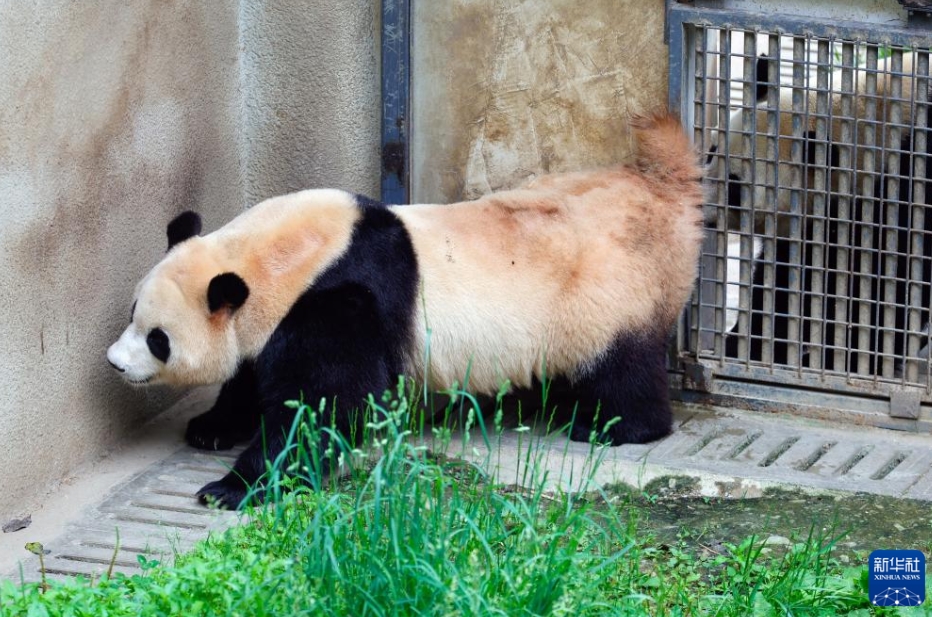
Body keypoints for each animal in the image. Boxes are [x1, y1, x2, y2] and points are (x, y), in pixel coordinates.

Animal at [107, 113, 708, 508]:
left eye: (157, 338)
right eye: (132, 311)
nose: (115, 362)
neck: (283, 257)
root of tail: (663, 194)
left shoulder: (340, 298)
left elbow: (323, 403)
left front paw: (233, 487)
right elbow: (254, 375)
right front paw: (211, 428)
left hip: (607, 293)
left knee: (621, 366)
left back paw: (610, 426)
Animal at [680, 25, 928, 390]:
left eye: (737, 187)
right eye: (711, 152)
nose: (697, 202)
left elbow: (891, 284)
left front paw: (850, 359)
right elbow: (789, 280)